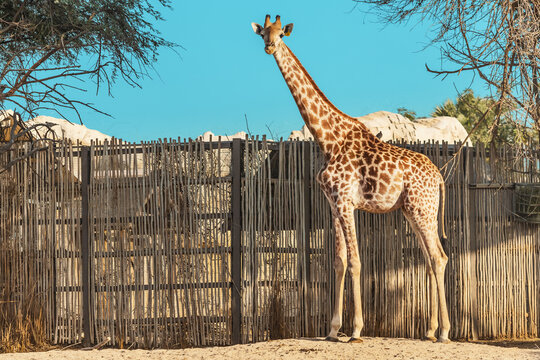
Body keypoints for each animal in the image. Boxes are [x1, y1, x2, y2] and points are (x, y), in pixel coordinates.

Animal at [252, 15, 452, 344]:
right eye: (262, 34)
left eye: (281, 34)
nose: (269, 47)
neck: (328, 139)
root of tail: (439, 178)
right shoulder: (333, 205)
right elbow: (338, 262)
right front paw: (332, 330)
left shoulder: (347, 202)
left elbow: (357, 261)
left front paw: (356, 329)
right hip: (413, 211)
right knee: (430, 258)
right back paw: (430, 331)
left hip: (423, 209)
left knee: (438, 257)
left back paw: (445, 331)